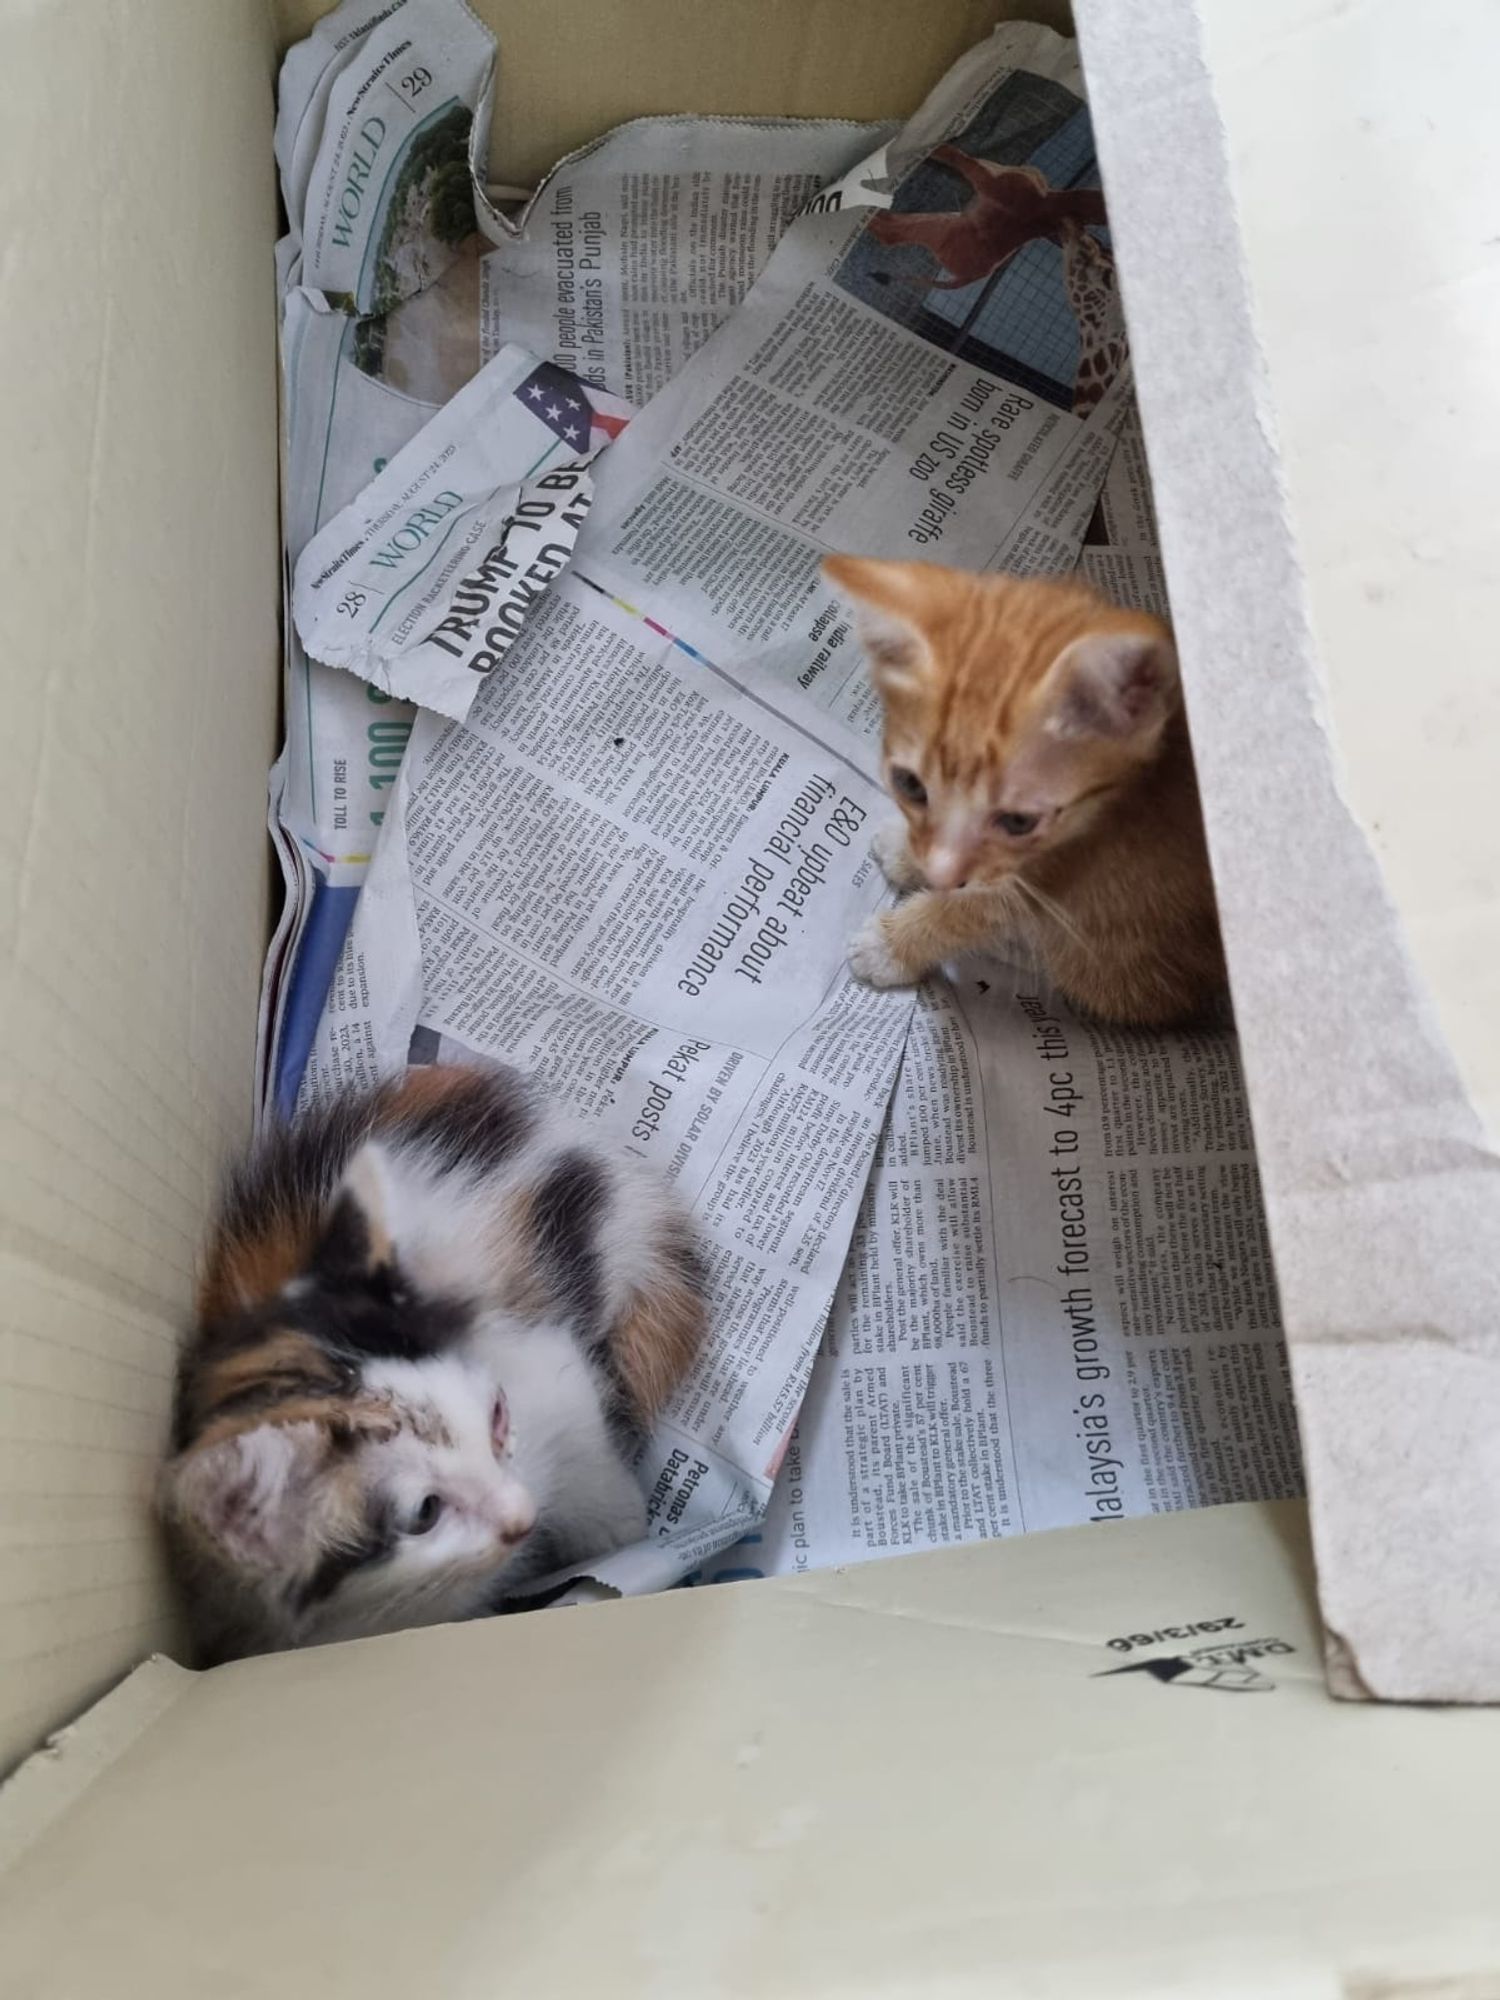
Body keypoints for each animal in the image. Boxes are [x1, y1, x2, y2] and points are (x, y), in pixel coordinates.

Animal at [159, 1064, 712, 1656]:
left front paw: (621, 1531)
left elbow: (583, 1442)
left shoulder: (541, 1368)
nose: (524, 1514)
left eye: (497, 1415)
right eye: (425, 1512)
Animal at [828, 564, 1224, 1032]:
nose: (940, 874)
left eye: (1019, 822)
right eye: (910, 784)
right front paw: (908, 856)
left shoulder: (1053, 879)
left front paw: (890, 945)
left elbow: (967, 914)